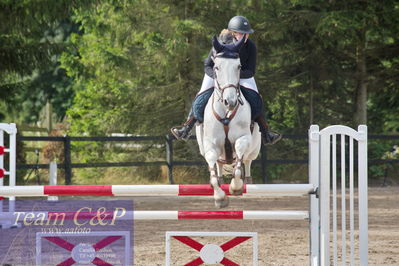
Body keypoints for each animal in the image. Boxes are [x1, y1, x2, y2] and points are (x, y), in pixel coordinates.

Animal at [196, 37, 262, 208]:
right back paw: (220, 180)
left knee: (247, 160)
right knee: (218, 163)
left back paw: (247, 181)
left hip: (254, 148)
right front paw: (220, 197)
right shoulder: (210, 144)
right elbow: (212, 162)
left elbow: (239, 160)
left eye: (238, 67)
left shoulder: (243, 138)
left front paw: (235, 187)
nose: (230, 102)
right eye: (216, 67)